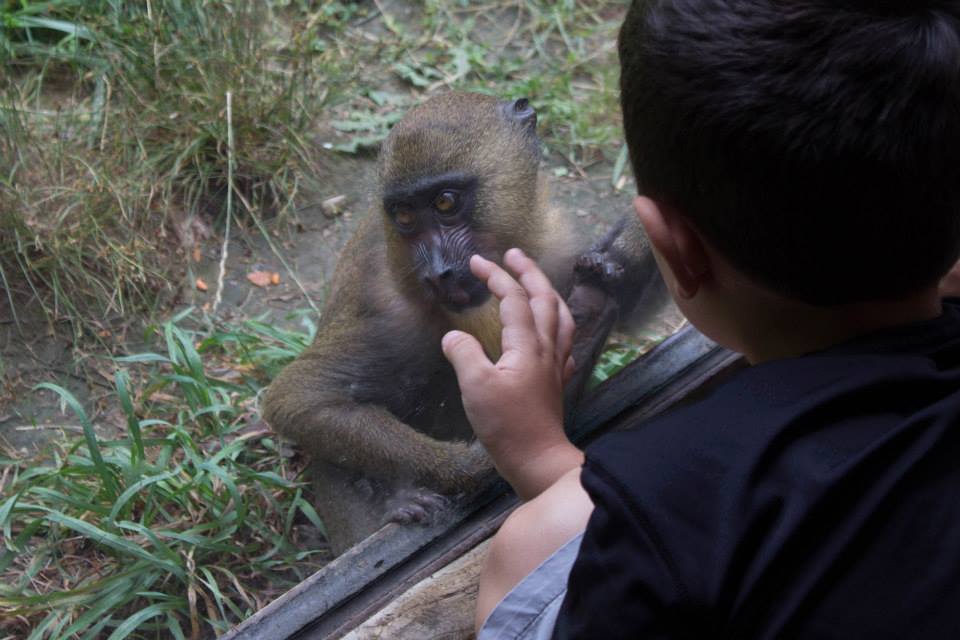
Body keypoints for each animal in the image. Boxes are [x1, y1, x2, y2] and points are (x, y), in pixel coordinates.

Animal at [262, 92, 666, 554]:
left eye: (445, 202)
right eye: (404, 216)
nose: (438, 273)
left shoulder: (563, 248)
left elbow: (632, 301)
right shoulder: (386, 313)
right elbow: (300, 398)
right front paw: (481, 459)